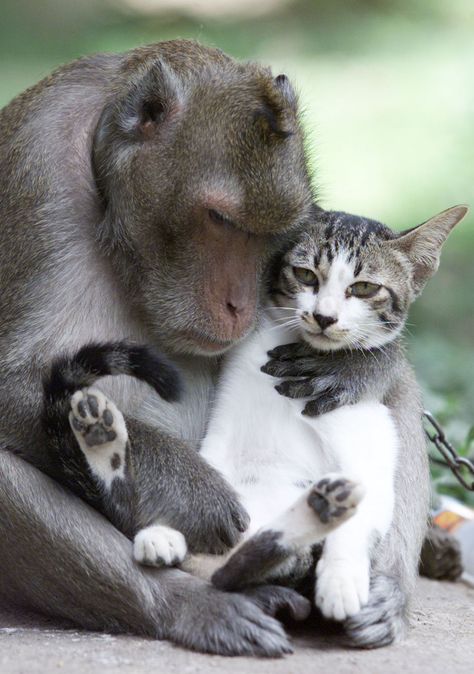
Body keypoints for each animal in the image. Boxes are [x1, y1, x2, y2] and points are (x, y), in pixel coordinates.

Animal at [40, 201, 466, 636]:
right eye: (306, 275)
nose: (324, 317)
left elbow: (360, 515)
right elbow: (205, 476)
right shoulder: (224, 426)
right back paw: (125, 476)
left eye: (363, 288)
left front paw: (341, 580)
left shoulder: (370, 444)